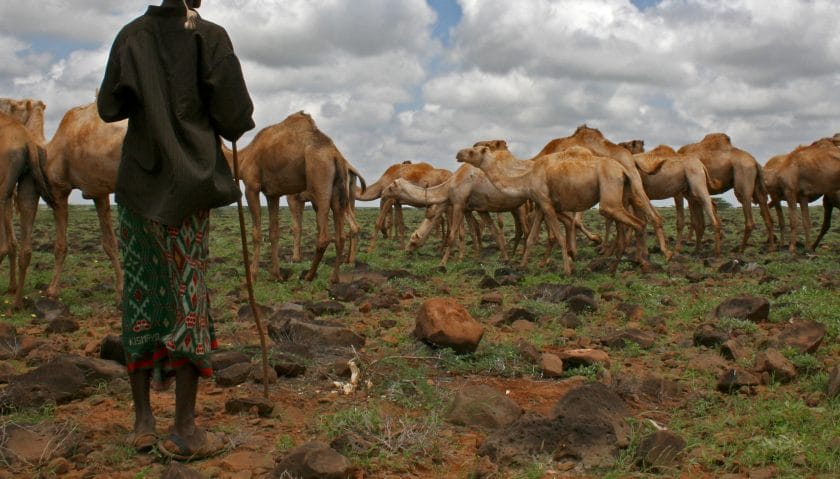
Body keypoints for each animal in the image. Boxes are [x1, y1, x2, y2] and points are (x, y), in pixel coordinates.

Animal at [236, 110, 354, 284]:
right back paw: (333, 278)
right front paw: (276, 275)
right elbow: (274, 232)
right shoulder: (272, 194)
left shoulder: (251, 186)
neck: (244, 155)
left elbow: (256, 233)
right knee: (340, 235)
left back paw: (309, 276)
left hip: (319, 182)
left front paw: (251, 276)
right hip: (338, 190)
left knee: (324, 237)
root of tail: (335, 155)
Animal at [456, 144, 648, 276]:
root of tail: (623, 170)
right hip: (622, 196)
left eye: (473, 152)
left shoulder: (546, 203)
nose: (458, 154)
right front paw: (522, 265)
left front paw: (567, 269)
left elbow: (559, 236)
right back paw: (615, 269)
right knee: (627, 229)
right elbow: (532, 238)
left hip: (609, 195)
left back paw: (641, 264)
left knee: (637, 223)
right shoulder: (541, 204)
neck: (527, 179)